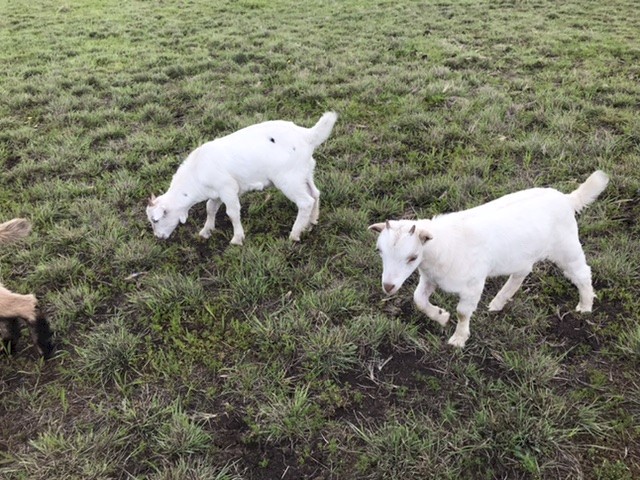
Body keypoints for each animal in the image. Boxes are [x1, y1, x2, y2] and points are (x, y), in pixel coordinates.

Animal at [147, 111, 338, 245]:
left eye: (156, 220)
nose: (159, 237)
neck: (196, 173)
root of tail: (306, 135)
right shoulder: (216, 193)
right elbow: (210, 208)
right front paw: (206, 231)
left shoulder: (227, 188)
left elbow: (232, 213)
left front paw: (237, 239)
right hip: (305, 171)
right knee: (315, 193)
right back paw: (311, 222)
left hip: (289, 179)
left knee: (305, 202)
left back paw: (295, 234)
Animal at [369, 170, 609, 348]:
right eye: (379, 251)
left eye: (412, 257)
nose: (388, 286)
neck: (443, 247)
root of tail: (566, 199)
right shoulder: (429, 278)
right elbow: (418, 299)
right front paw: (440, 316)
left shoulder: (473, 284)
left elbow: (462, 313)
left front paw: (458, 339)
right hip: (523, 255)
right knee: (521, 273)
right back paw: (498, 301)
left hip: (566, 247)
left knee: (582, 273)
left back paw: (585, 305)